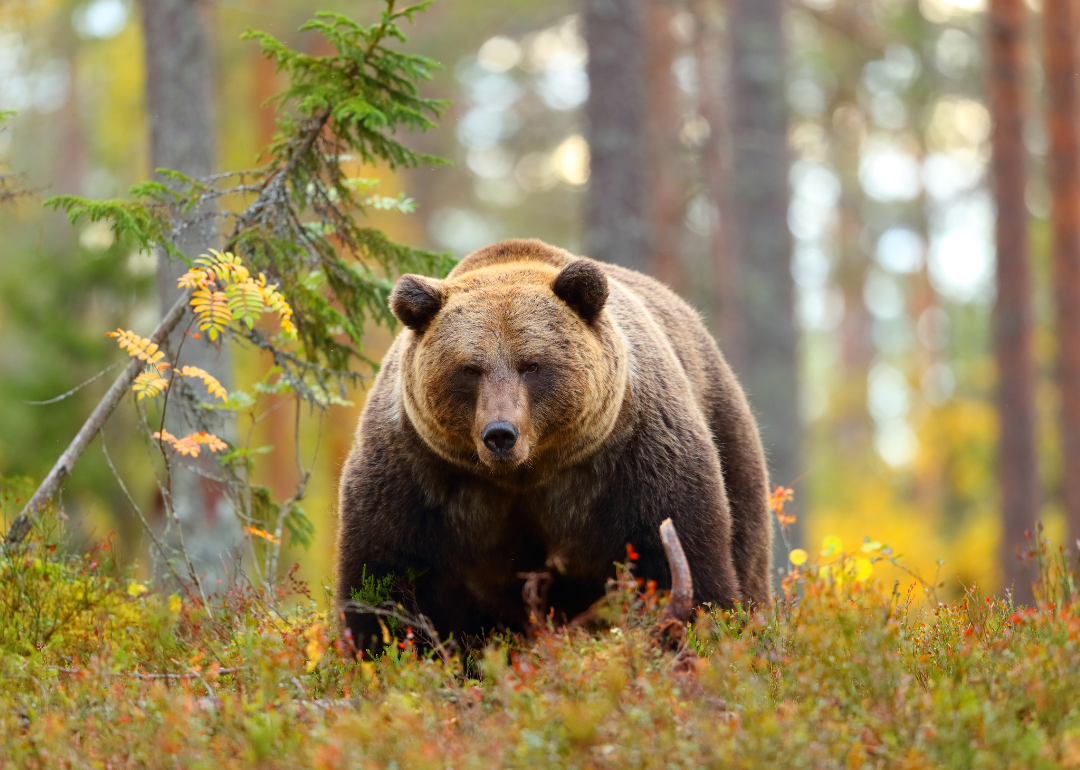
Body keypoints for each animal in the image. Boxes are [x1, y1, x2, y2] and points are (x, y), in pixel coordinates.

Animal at [334, 238, 768, 647]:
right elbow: (385, 582)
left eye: (532, 365)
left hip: (727, 433)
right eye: (470, 369)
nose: (500, 434)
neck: (526, 474)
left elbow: (683, 562)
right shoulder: (417, 477)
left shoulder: (634, 460)